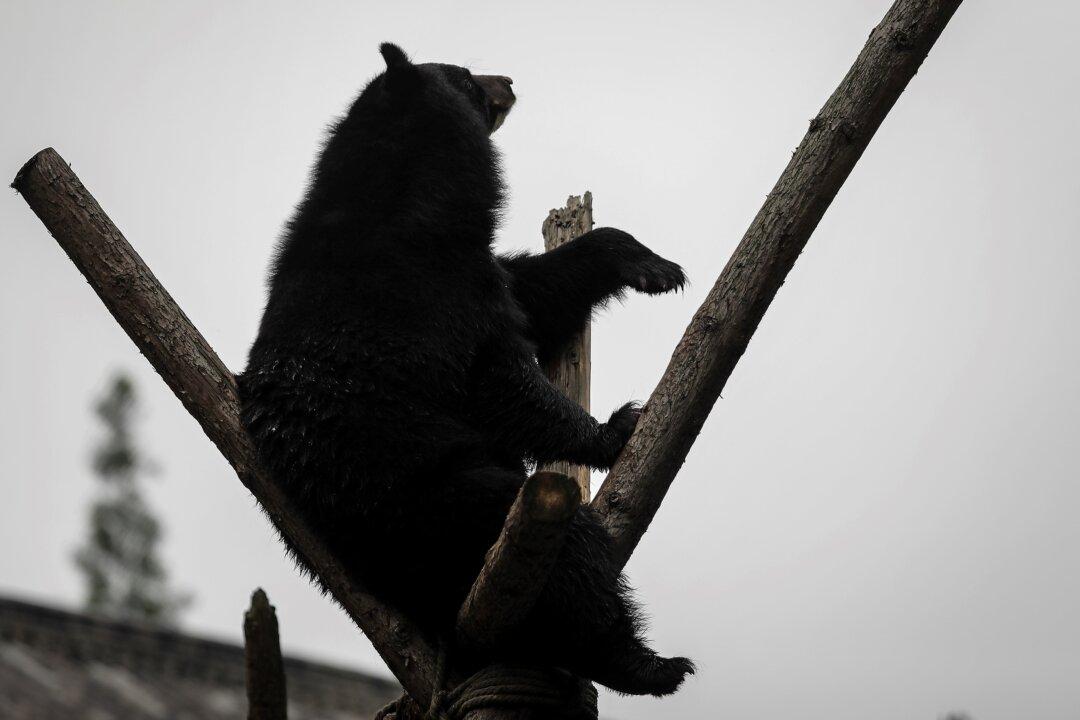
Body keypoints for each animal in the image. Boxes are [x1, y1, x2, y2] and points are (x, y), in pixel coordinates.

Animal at [238, 43, 693, 697]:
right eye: (465, 76)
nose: (509, 78)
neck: (405, 194)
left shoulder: (470, 268)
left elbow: (533, 290)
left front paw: (655, 267)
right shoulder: (427, 298)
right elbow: (499, 382)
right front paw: (617, 428)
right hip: (446, 507)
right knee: (571, 562)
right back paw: (647, 663)